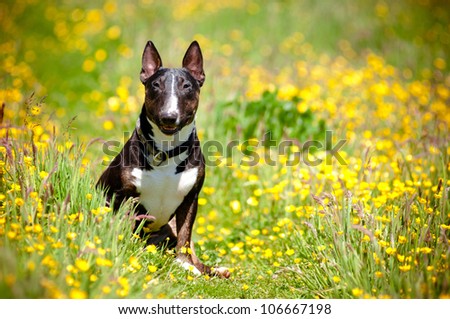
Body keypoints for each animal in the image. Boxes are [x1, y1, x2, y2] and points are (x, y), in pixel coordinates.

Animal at [96, 41, 227, 278]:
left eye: (187, 86)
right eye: (155, 85)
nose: (169, 117)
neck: (165, 150)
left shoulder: (191, 198)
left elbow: (185, 236)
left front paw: (184, 264)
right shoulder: (122, 196)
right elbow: (121, 226)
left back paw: (214, 270)